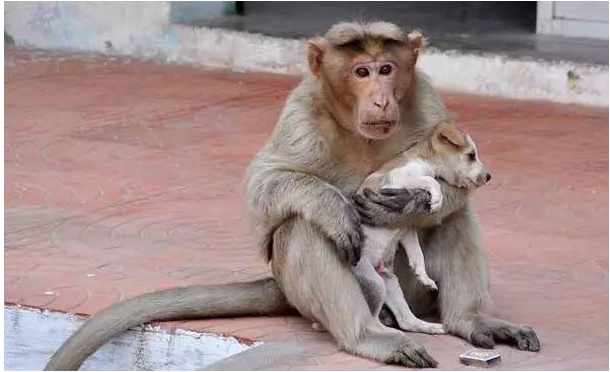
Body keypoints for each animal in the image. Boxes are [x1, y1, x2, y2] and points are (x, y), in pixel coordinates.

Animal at [44, 21, 536, 370]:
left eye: (387, 69)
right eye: (361, 71)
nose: (380, 99)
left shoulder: (429, 101)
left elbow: (447, 199)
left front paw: (416, 203)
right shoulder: (302, 111)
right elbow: (266, 184)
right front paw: (341, 207)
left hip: (411, 294)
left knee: (454, 219)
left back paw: (466, 320)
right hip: (331, 287)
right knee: (301, 228)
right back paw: (368, 335)